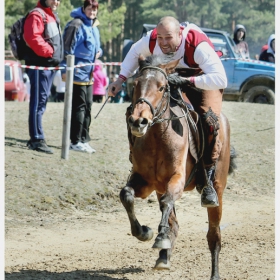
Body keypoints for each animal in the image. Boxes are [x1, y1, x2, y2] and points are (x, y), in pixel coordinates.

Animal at [119, 53, 237, 278]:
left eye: (162, 87)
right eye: (136, 84)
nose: (138, 121)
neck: (158, 137)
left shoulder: (177, 179)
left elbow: (168, 201)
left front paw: (160, 237)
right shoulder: (145, 181)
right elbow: (126, 195)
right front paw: (145, 232)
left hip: (218, 189)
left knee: (214, 235)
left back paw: (214, 273)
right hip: (158, 187)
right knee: (174, 221)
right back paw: (163, 257)